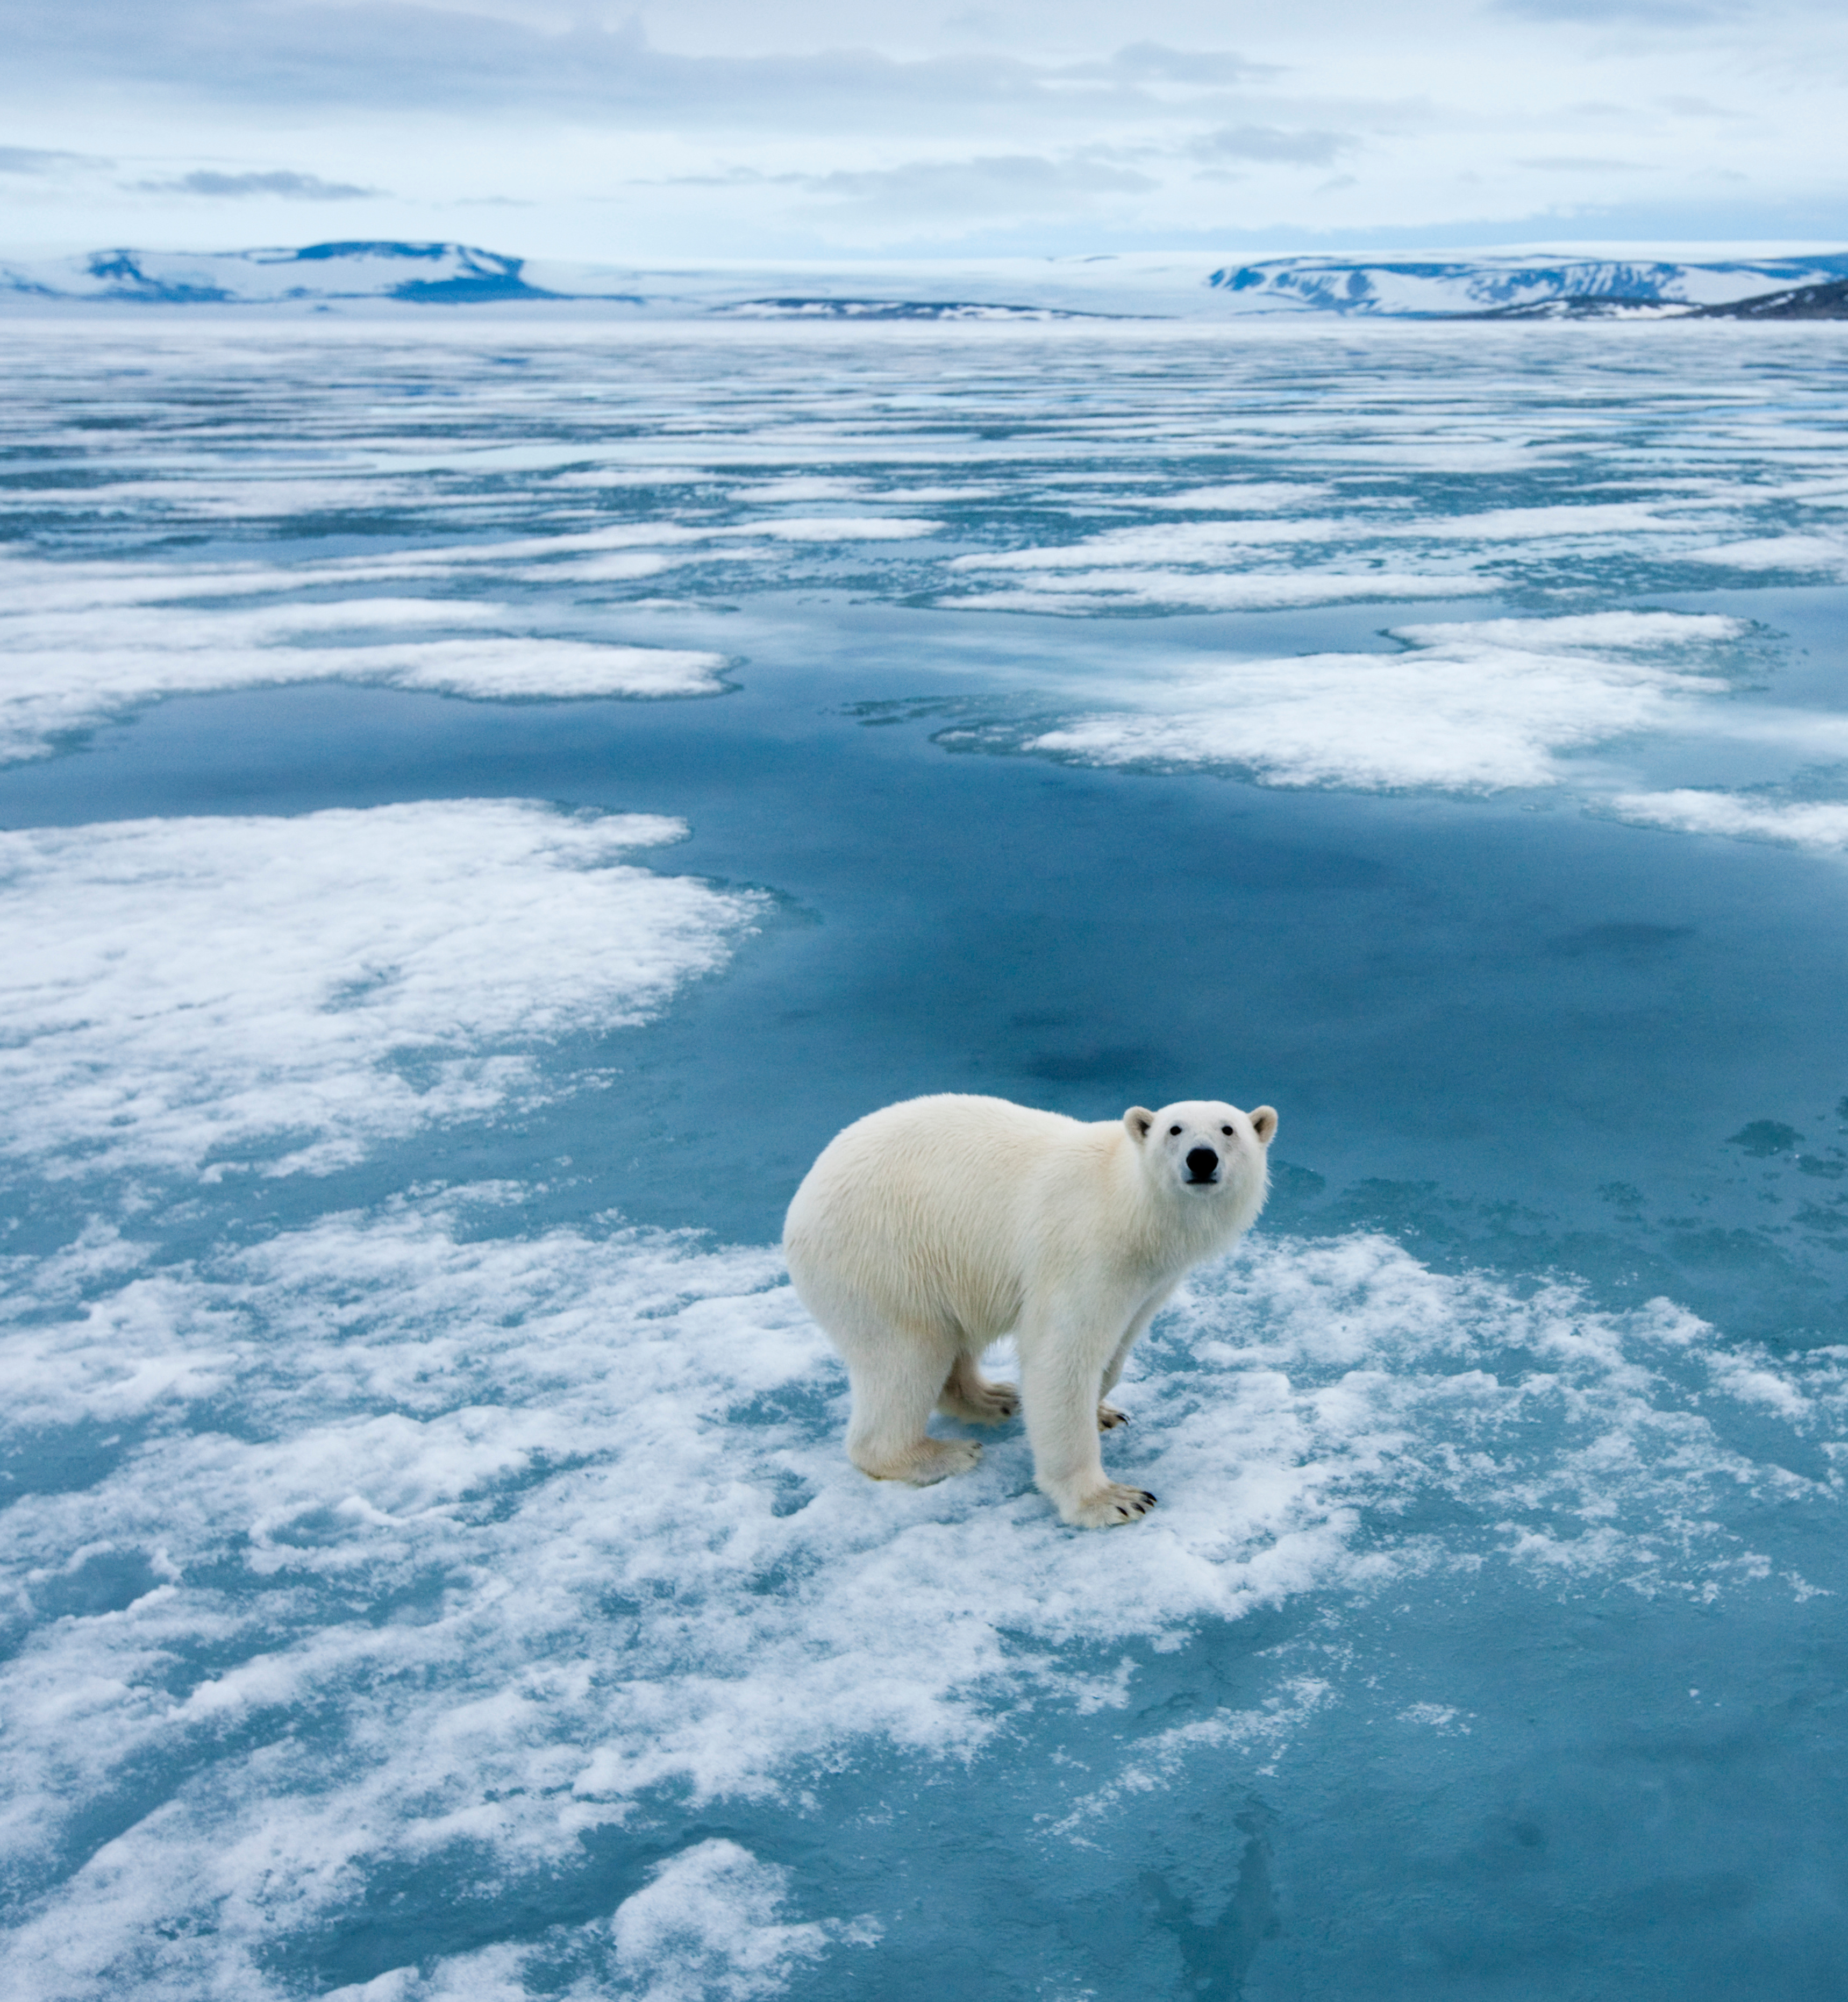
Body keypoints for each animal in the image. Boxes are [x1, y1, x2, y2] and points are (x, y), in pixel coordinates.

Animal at [776, 1105, 1273, 1521]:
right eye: (1175, 1129)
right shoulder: (1085, 1249)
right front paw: (1111, 1499)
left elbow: (1118, 1346)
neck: (1132, 1205)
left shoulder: (1154, 1279)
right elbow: (1060, 1355)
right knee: (907, 1354)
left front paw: (1104, 1411)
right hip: (882, 1257)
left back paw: (994, 1397)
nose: (1201, 1159)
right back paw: (941, 1453)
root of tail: (802, 1196)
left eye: (1228, 1129)